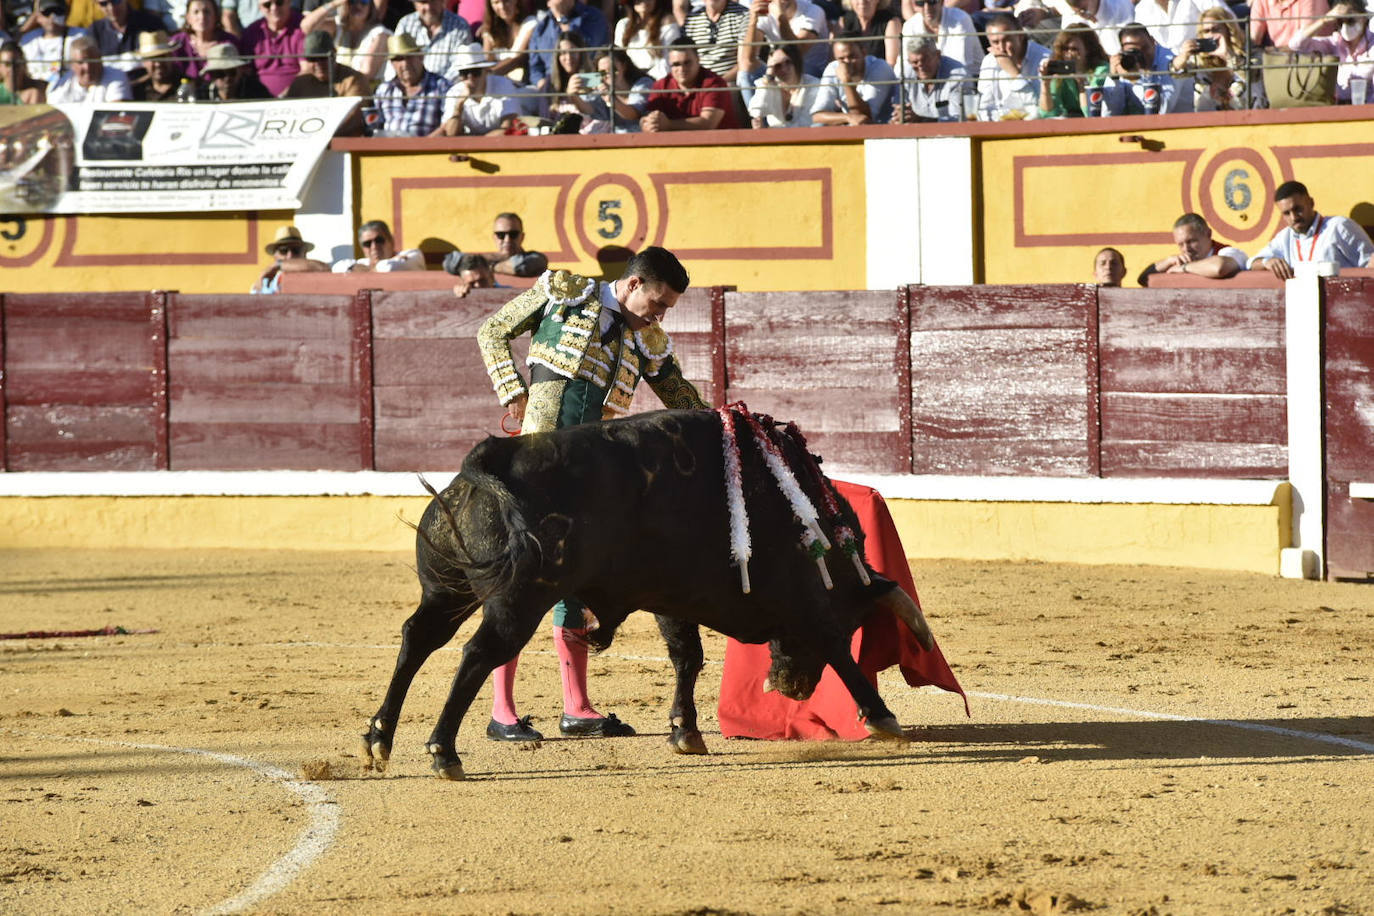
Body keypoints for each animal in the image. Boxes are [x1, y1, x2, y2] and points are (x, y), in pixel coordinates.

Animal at [365, 409, 939, 780]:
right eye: (855, 620)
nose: (791, 689)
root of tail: (489, 460)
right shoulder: (805, 603)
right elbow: (837, 651)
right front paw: (883, 718)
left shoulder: (671, 598)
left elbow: (688, 656)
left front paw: (685, 732)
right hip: (518, 601)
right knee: (479, 653)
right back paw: (443, 752)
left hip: (446, 589)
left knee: (418, 638)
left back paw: (379, 740)